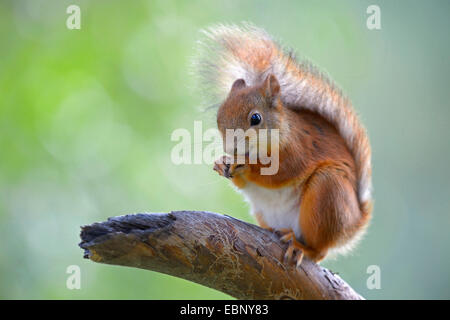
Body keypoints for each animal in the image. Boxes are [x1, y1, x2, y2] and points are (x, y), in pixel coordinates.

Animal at [195, 23, 370, 264]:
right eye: (219, 118)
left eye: (255, 118)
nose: (232, 149)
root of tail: (353, 225)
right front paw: (222, 163)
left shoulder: (300, 148)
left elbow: (283, 172)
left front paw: (247, 167)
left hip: (328, 194)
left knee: (320, 251)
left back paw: (301, 247)